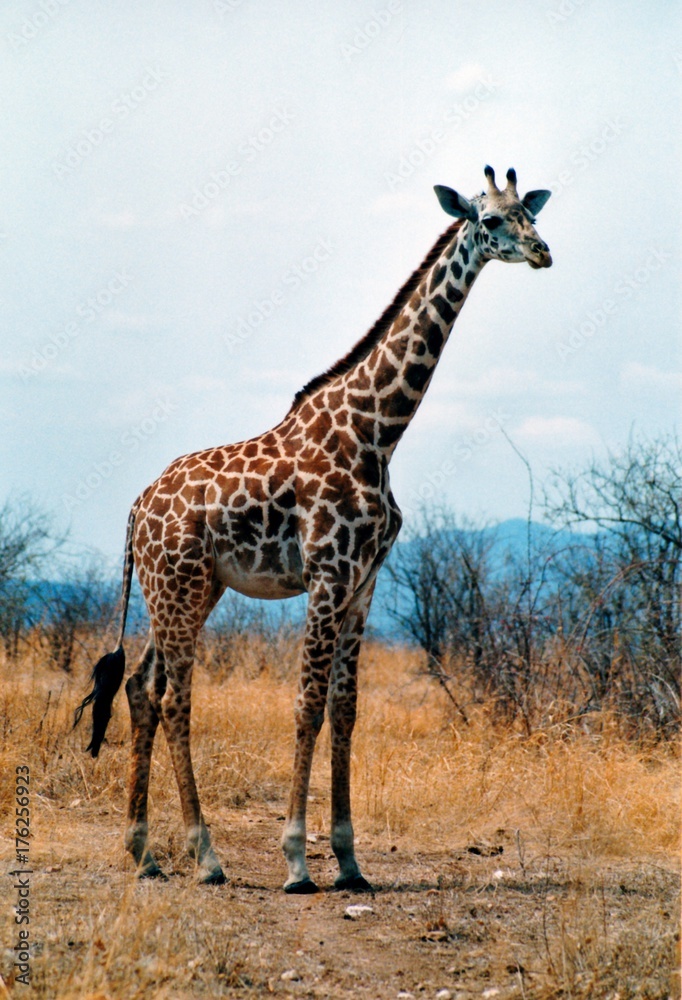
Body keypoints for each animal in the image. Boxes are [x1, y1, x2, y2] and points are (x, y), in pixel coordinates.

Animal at [75, 165, 552, 893]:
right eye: (491, 219)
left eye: (530, 212)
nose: (542, 252)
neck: (377, 433)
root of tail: (136, 506)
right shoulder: (327, 575)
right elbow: (305, 704)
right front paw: (298, 860)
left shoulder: (364, 583)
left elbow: (346, 710)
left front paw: (351, 862)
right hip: (177, 586)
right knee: (175, 695)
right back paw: (205, 855)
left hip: (190, 589)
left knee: (140, 686)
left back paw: (144, 852)